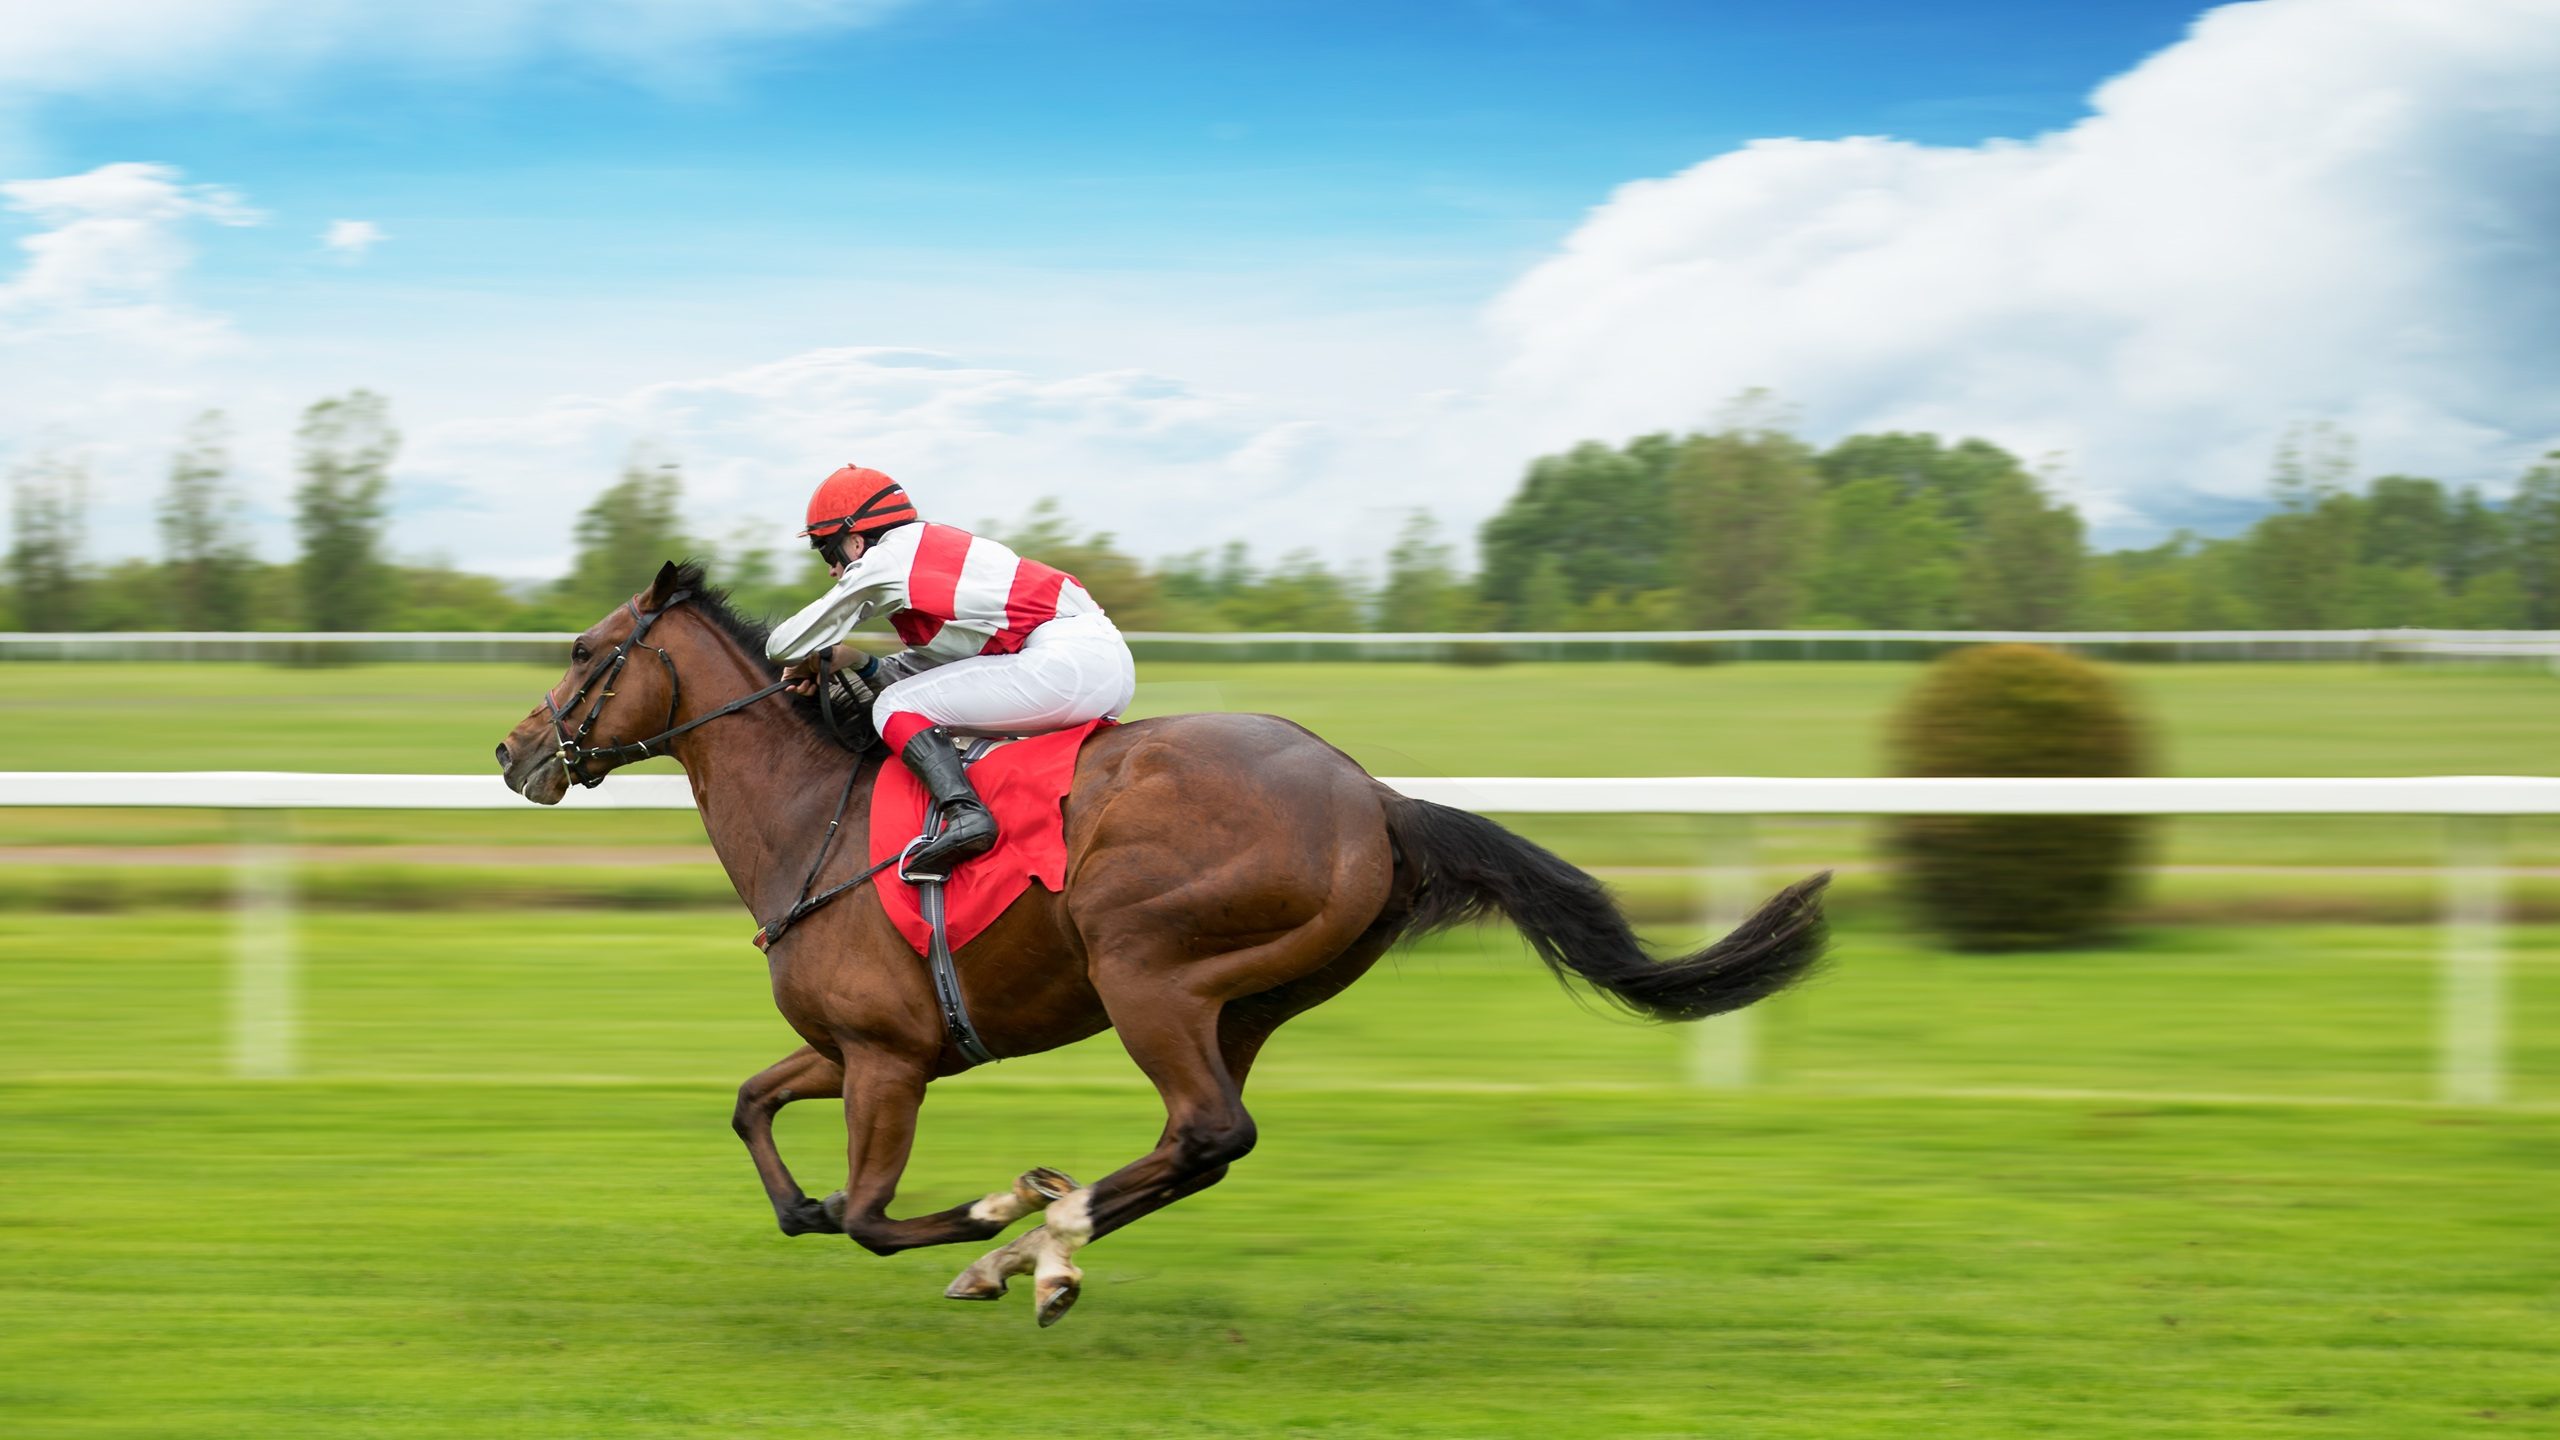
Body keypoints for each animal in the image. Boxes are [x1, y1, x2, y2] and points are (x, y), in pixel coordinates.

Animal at [494, 562, 1829, 1327]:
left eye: (583, 652)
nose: (513, 752)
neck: (808, 818)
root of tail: (1373, 796)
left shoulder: (887, 1059)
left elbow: (869, 1214)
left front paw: (989, 1219)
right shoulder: (854, 1044)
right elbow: (756, 1120)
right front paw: (946, 1225)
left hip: (1147, 968)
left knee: (1205, 1129)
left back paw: (1035, 1244)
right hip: (1248, 999)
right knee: (1203, 1144)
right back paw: (1049, 1246)